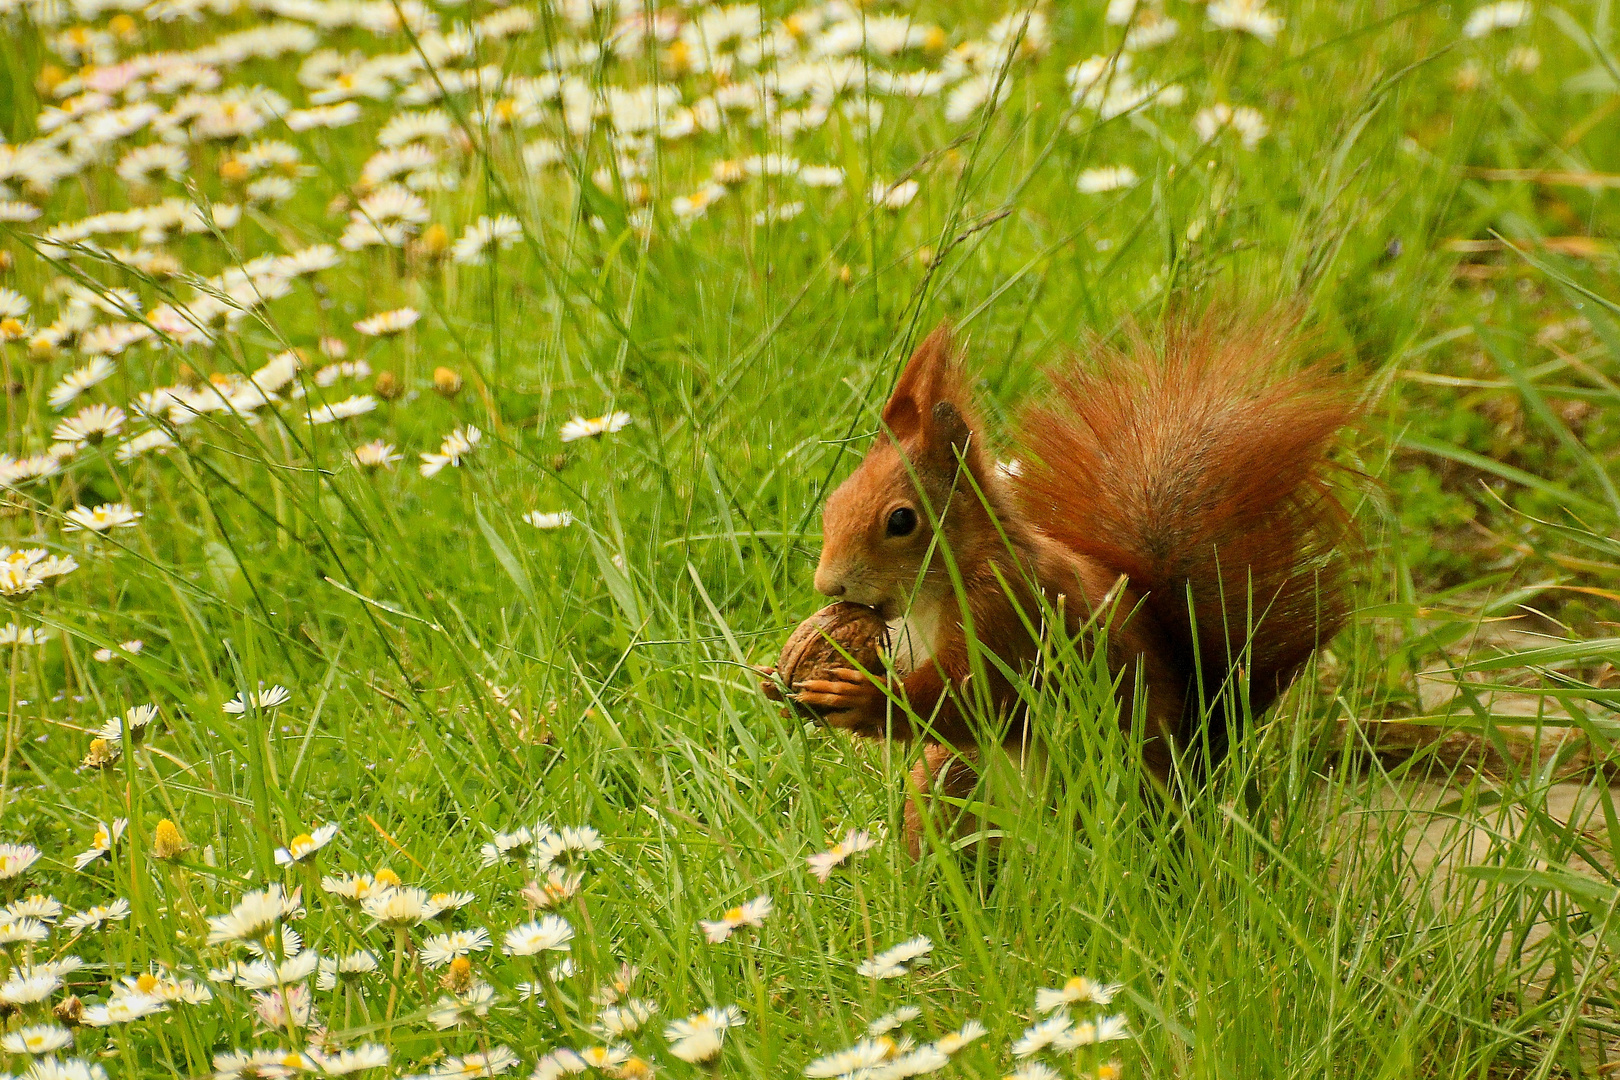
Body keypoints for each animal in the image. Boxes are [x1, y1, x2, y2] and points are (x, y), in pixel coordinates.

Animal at [790, 310, 1347, 854]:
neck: (946, 582)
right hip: (950, 782)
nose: (829, 586)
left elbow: (973, 698)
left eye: (902, 521)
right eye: (834, 502)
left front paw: (862, 698)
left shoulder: (1007, 614)